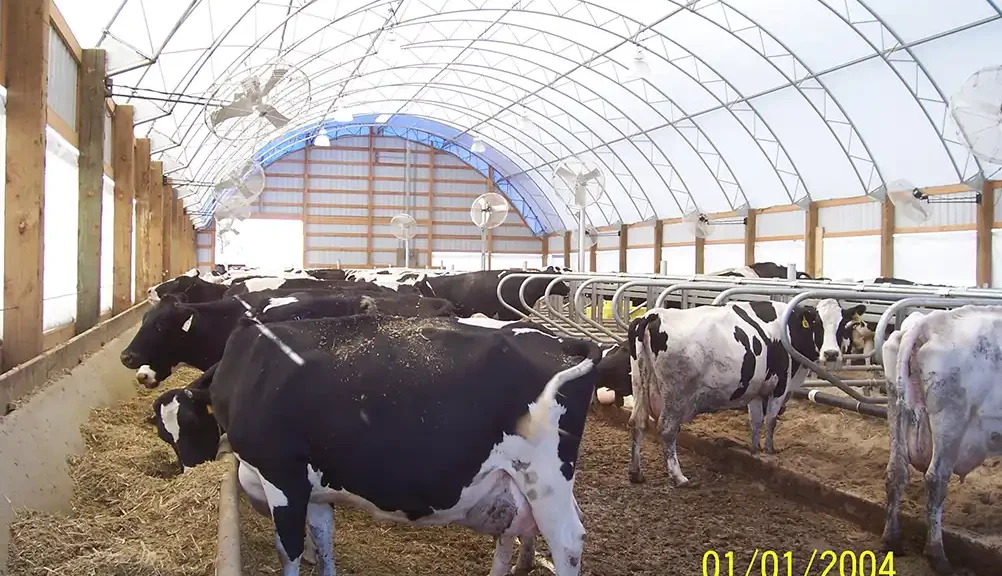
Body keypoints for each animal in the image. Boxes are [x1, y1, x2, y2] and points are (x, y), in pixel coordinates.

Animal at [149, 316, 601, 576]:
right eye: (164, 433)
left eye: (189, 425)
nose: (188, 470)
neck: (247, 372)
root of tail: (560, 342)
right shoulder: (316, 489)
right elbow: (323, 540)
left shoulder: (283, 477)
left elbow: (289, 550)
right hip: (525, 483)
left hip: (544, 477)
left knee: (568, 542)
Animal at [625, 300, 861, 488]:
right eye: (817, 323)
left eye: (842, 325)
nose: (831, 354)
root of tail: (653, 314)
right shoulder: (780, 386)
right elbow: (771, 420)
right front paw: (769, 450)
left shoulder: (755, 391)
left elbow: (755, 421)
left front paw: (754, 450)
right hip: (676, 395)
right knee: (666, 430)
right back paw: (679, 477)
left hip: (638, 383)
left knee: (638, 422)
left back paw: (636, 473)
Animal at [877, 304, 1002, 572]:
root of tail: (927, 323)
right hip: (950, 420)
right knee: (936, 479)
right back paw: (937, 554)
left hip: (896, 408)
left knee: (896, 472)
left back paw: (891, 540)